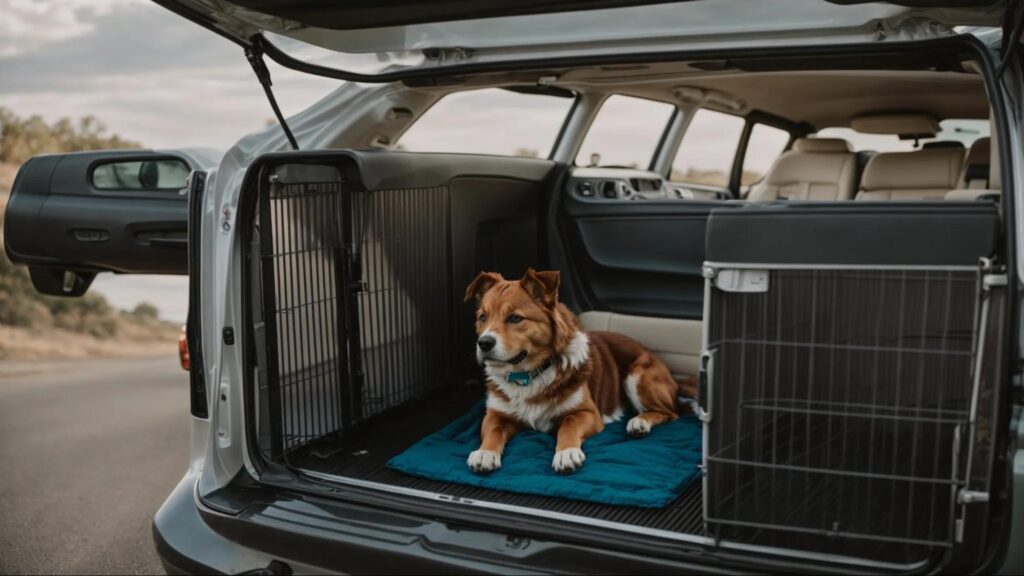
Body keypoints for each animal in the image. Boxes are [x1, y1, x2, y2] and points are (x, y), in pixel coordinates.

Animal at [466, 268, 696, 471]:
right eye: (482, 317)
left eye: (515, 318)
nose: (483, 343)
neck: (528, 375)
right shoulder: (496, 414)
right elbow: (493, 431)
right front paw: (485, 452)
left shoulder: (588, 413)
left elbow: (569, 423)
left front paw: (566, 452)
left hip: (638, 375)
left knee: (670, 412)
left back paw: (639, 422)